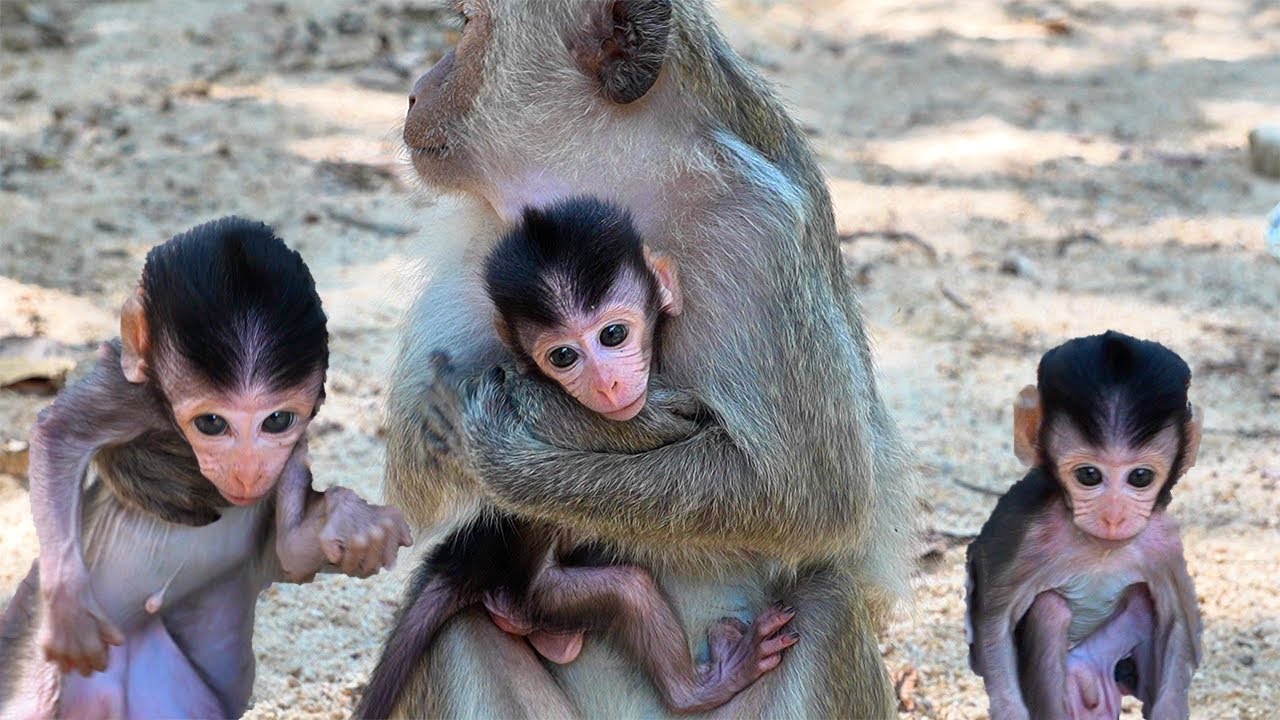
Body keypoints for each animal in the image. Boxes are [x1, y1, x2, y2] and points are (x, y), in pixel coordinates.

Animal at [0, 216, 413, 718]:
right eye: (211, 423)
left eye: (277, 420)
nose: (248, 472)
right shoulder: (128, 394)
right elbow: (56, 433)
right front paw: (69, 608)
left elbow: (293, 551)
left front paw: (340, 527)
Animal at [357, 197, 799, 719]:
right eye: (563, 356)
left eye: (613, 334)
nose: (607, 384)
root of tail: (482, 564)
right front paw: (656, 418)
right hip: (545, 594)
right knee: (628, 591)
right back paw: (696, 688)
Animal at [965, 330, 1203, 720]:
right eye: (1089, 475)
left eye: (1140, 477)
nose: (1114, 516)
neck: (1099, 548)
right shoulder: (1029, 539)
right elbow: (992, 624)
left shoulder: (1163, 543)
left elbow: (1177, 625)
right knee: (1050, 611)